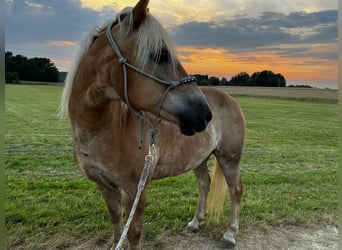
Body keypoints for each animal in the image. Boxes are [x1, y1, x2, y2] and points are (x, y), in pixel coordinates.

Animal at [60, 0, 244, 249]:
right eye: (160, 55)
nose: (205, 114)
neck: (101, 130)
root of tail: (230, 99)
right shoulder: (106, 188)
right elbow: (117, 227)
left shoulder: (135, 189)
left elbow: (134, 233)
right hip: (199, 158)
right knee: (204, 184)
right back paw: (195, 223)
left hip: (229, 157)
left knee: (235, 191)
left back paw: (230, 234)